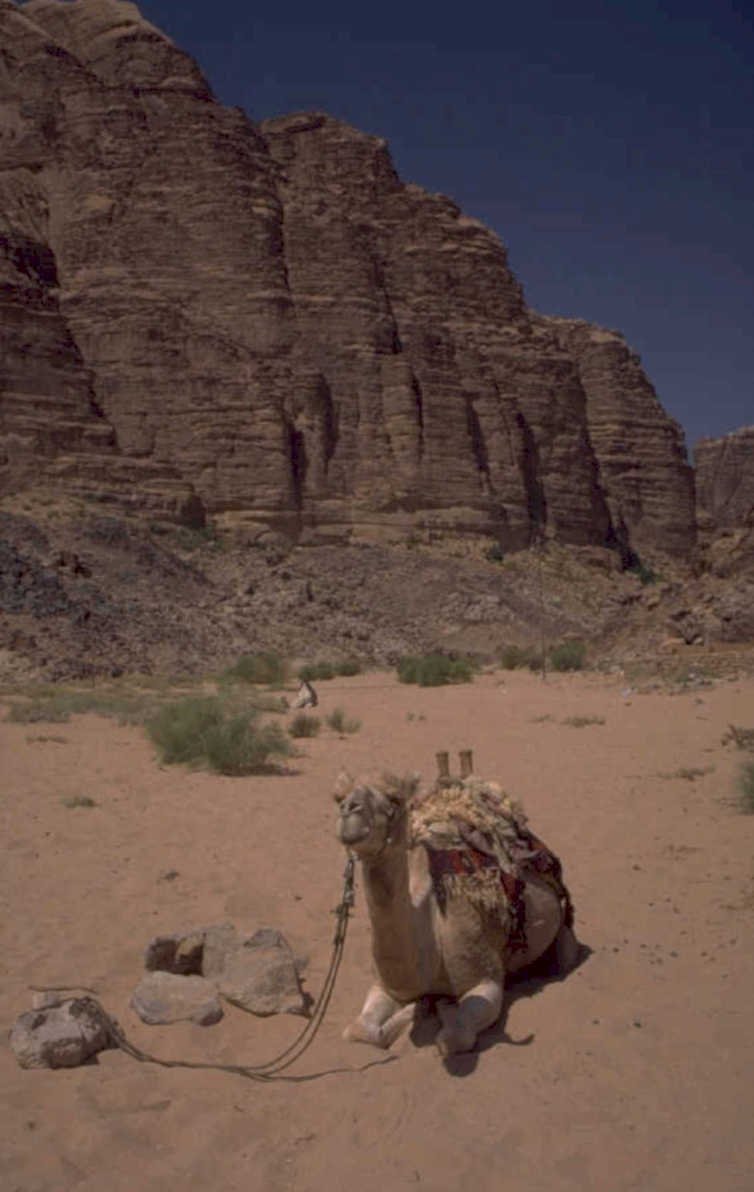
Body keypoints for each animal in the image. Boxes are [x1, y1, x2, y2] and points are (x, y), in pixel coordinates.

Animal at [334, 751, 579, 1057]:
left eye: (395, 798)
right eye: (338, 797)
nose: (349, 810)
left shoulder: (485, 979)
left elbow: (453, 1038)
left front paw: (437, 1007)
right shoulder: (384, 985)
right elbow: (358, 1031)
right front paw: (417, 1008)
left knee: (565, 954)